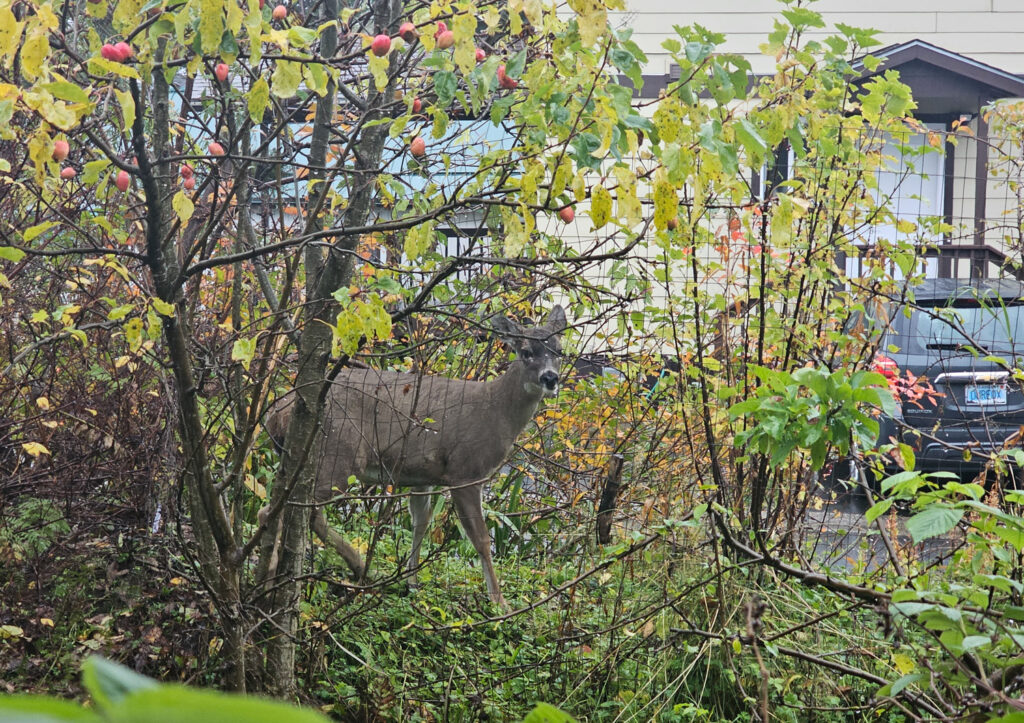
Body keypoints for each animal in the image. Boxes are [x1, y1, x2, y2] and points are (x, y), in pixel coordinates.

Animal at [264, 307, 569, 606]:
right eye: (526, 351)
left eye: (559, 350)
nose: (550, 378)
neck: (496, 410)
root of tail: (277, 413)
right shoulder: (465, 470)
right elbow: (481, 539)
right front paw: (499, 603)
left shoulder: (424, 474)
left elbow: (420, 522)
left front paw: (411, 583)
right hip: (338, 453)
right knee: (302, 510)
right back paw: (354, 569)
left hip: (300, 458)